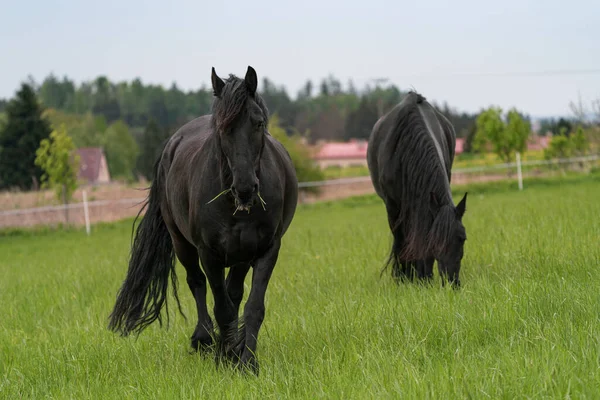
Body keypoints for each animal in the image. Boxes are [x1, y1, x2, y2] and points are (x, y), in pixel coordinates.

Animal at [108, 64, 300, 374]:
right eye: (222, 128)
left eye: (258, 123)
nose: (245, 188)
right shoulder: (209, 253)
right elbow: (220, 306)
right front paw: (226, 356)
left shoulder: (266, 250)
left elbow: (252, 307)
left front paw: (246, 360)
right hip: (182, 244)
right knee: (196, 282)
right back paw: (204, 339)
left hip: (241, 255)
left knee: (233, 292)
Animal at [366, 91, 468, 288]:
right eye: (436, 242)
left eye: (462, 238)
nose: (452, 282)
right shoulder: (392, 206)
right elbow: (401, 238)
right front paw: (405, 278)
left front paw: (424, 277)